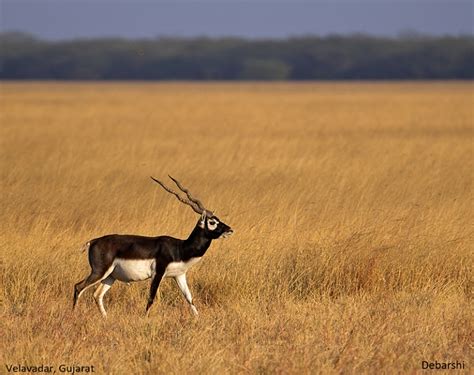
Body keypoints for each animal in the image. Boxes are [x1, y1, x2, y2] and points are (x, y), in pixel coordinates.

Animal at [72, 176, 233, 318]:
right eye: (212, 222)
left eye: (218, 219)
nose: (230, 230)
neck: (180, 249)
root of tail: (93, 241)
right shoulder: (158, 273)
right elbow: (151, 297)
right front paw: (145, 318)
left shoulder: (179, 275)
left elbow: (189, 298)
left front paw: (198, 318)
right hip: (99, 271)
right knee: (78, 287)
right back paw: (73, 316)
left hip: (110, 276)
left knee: (97, 294)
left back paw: (105, 318)